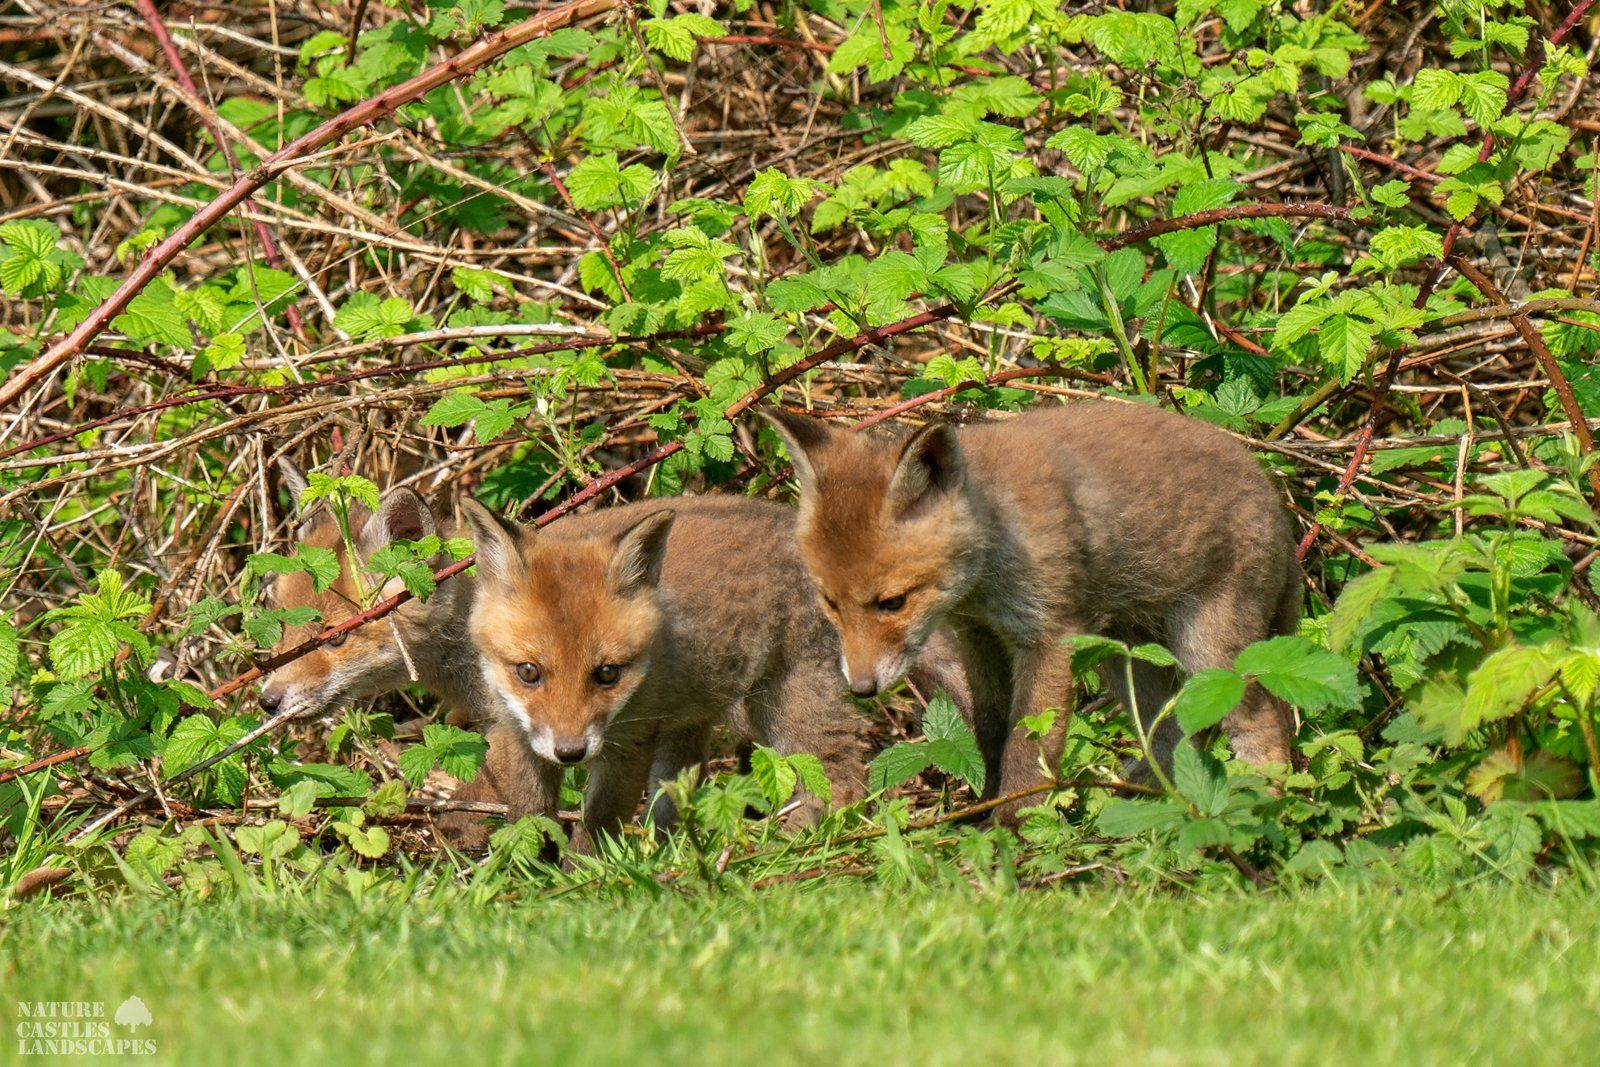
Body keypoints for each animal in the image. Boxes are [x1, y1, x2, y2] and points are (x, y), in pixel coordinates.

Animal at [761, 400, 1302, 819]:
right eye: (830, 602)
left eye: (892, 603)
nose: (861, 688)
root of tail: (1274, 493)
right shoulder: (979, 638)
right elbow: (991, 732)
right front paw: (981, 813)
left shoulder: (1047, 636)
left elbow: (1027, 747)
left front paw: (1012, 828)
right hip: (1126, 657)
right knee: (1169, 737)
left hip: (1208, 649)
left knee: (1265, 726)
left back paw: (1260, 807)